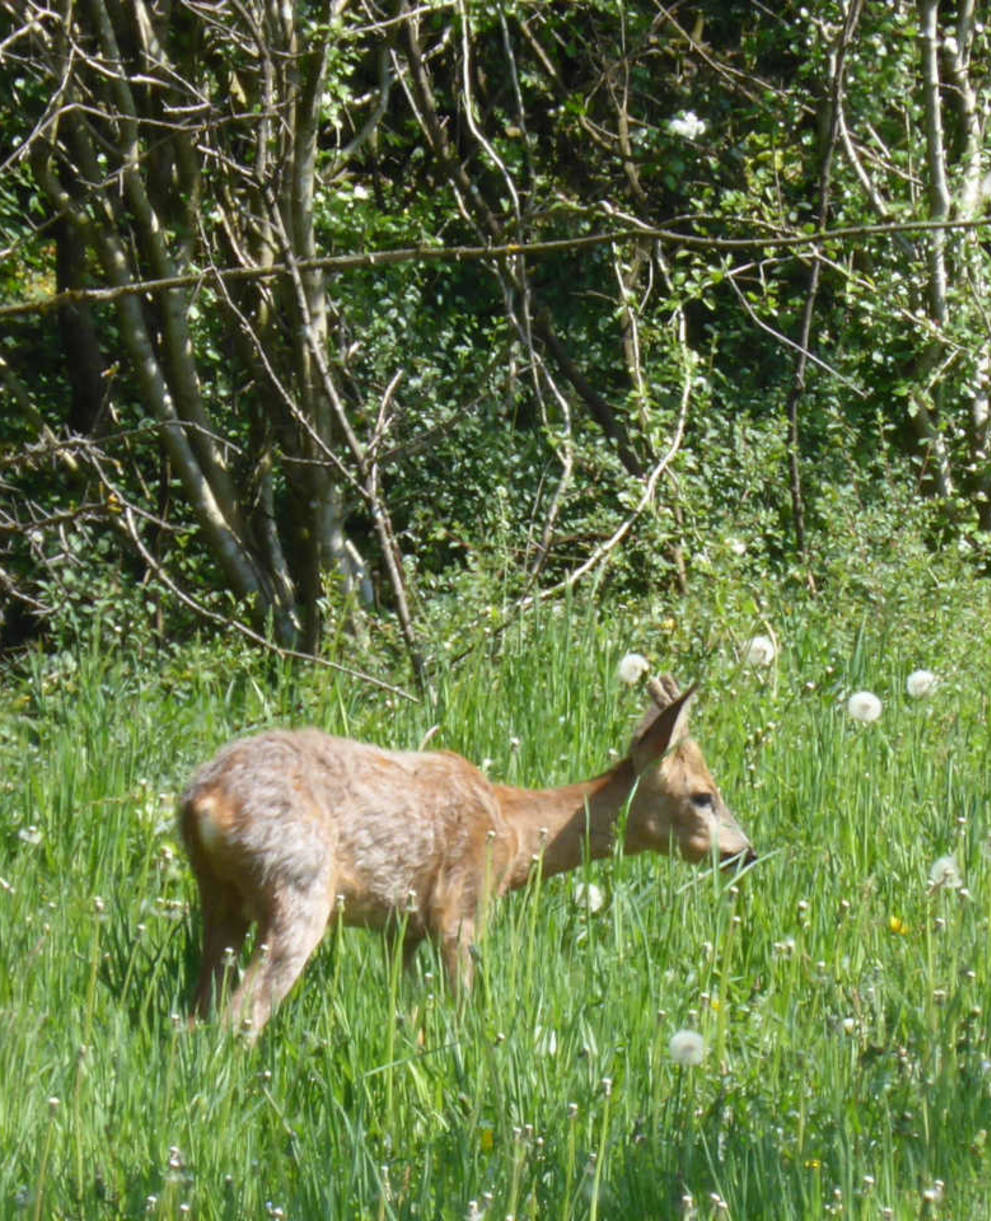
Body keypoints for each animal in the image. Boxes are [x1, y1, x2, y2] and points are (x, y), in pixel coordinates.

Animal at [179, 673, 751, 1035]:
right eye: (704, 795)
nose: (745, 851)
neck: (514, 835)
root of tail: (205, 800)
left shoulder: (402, 929)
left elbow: (410, 1008)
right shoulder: (459, 908)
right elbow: (464, 1005)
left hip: (219, 898)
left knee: (198, 1012)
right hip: (300, 883)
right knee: (240, 1016)